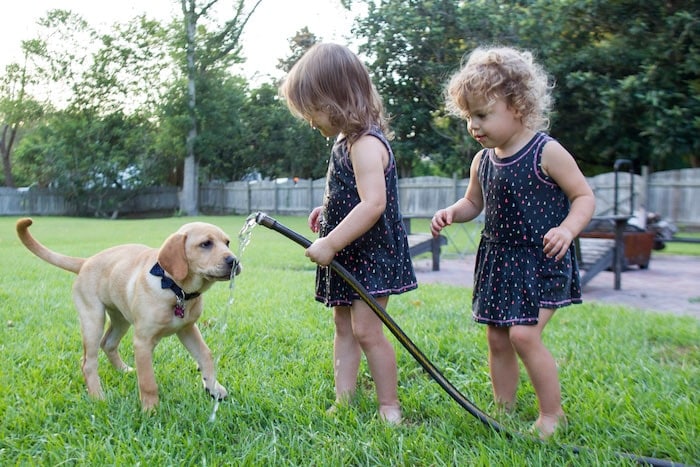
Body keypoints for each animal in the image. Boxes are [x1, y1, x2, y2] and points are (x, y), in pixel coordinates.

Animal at [15, 218, 241, 412]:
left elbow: (205, 355)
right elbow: (148, 382)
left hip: (120, 318)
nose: (235, 261)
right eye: (205, 244)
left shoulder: (187, 329)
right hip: (92, 319)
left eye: (227, 242)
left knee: (108, 343)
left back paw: (123, 371)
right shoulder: (143, 342)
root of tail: (86, 261)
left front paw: (214, 388)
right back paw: (98, 397)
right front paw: (151, 411)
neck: (176, 290)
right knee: (88, 362)